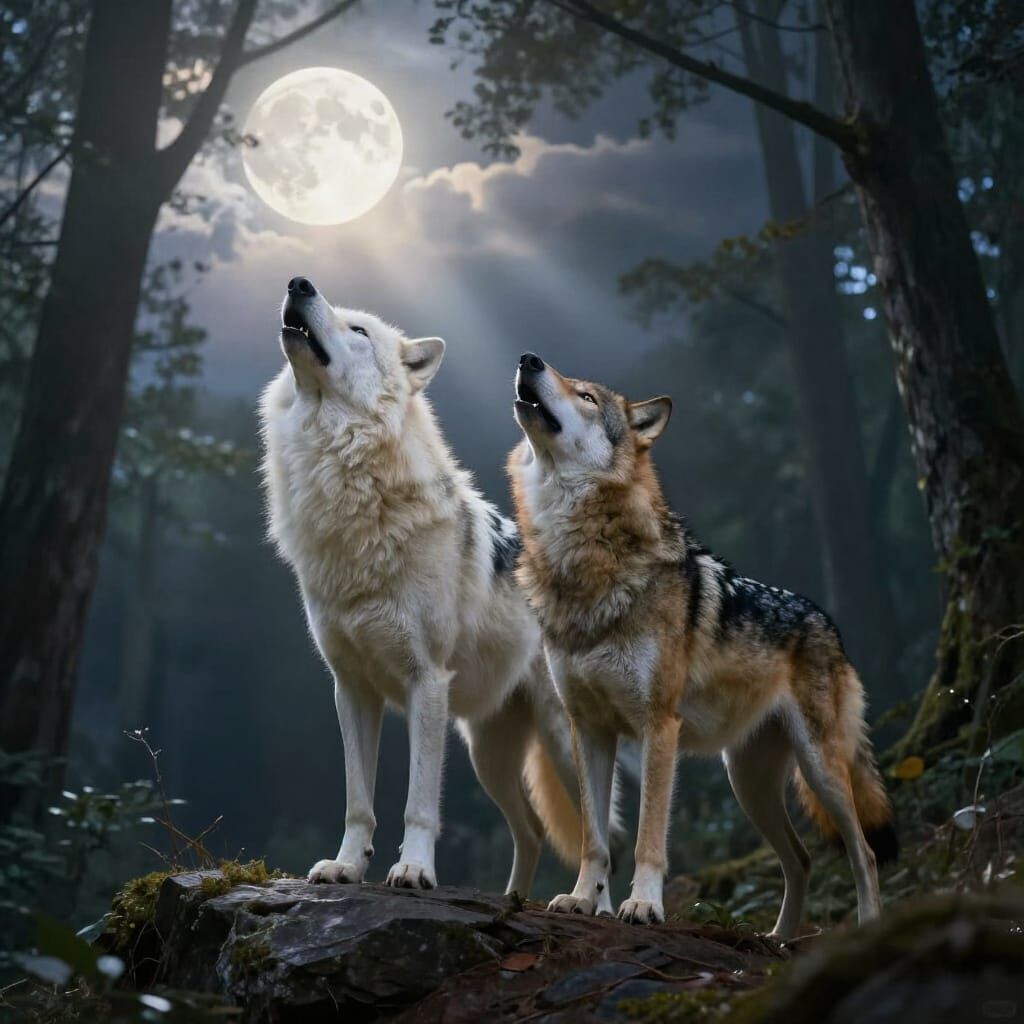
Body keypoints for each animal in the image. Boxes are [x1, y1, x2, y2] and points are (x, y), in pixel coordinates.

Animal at [258, 279, 582, 895]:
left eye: (359, 330)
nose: (297, 283)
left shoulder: (425, 682)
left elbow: (418, 804)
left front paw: (412, 869)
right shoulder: (351, 688)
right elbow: (358, 801)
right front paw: (345, 867)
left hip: (564, 738)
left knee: (610, 831)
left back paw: (591, 901)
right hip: (488, 755)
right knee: (531, 831)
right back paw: (513, 901)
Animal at [507, 352, 896, 936]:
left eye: (587, 396)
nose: (529, 359)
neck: (586, 562)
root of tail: (826, 618)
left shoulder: (658, 727)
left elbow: (648, 837)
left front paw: (643, 906)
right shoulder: (589, 729)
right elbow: (594, 838)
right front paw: (582, 900)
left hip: (820, 769)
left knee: (862, 851)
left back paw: (866, 926)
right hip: (748, 784)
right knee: (801, 859)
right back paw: (781, 938)